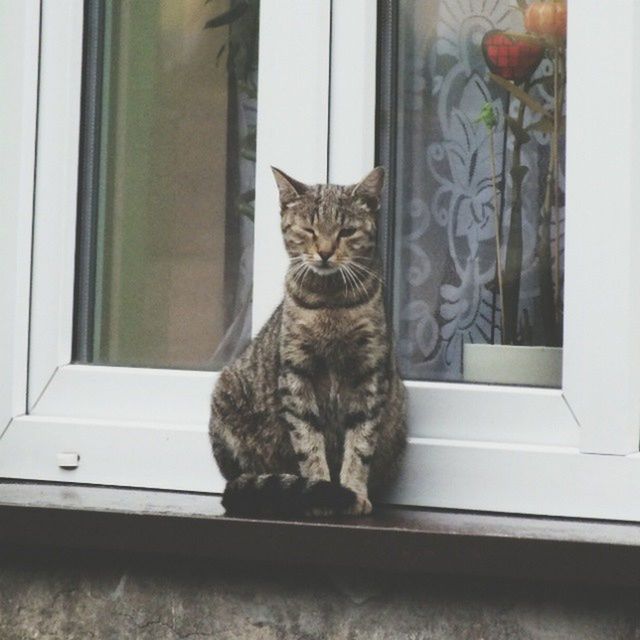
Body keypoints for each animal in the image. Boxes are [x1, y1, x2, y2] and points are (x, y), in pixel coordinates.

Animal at [208, 165, 408, 516]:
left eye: (346, 231)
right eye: (309, 230)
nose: (325, 252)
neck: (330, 303)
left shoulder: (369, 372)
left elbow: (360, 444)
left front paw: (353, 491)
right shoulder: (296, 372)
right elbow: (308, 442)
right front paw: (323, 494)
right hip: (226, 396)